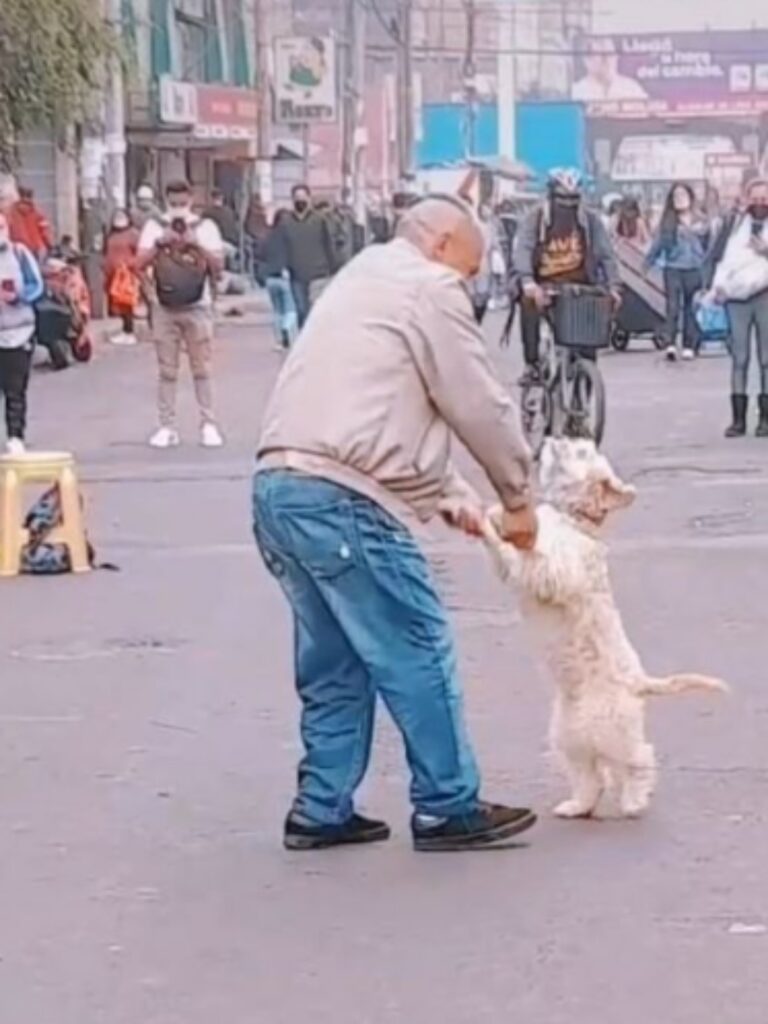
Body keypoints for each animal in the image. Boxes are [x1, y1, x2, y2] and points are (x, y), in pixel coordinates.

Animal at [483, 436, 729, 819]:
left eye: (583, 450)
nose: (553, 438)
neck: (573, 520)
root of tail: (640, 683)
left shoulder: (555, 570)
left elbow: (531, 558)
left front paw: (490, 522)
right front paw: (494, 515)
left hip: (614, 731)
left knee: (638, 759)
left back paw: (634, 801)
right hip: (571, 736)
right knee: (591, 778)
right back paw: (576, 806)